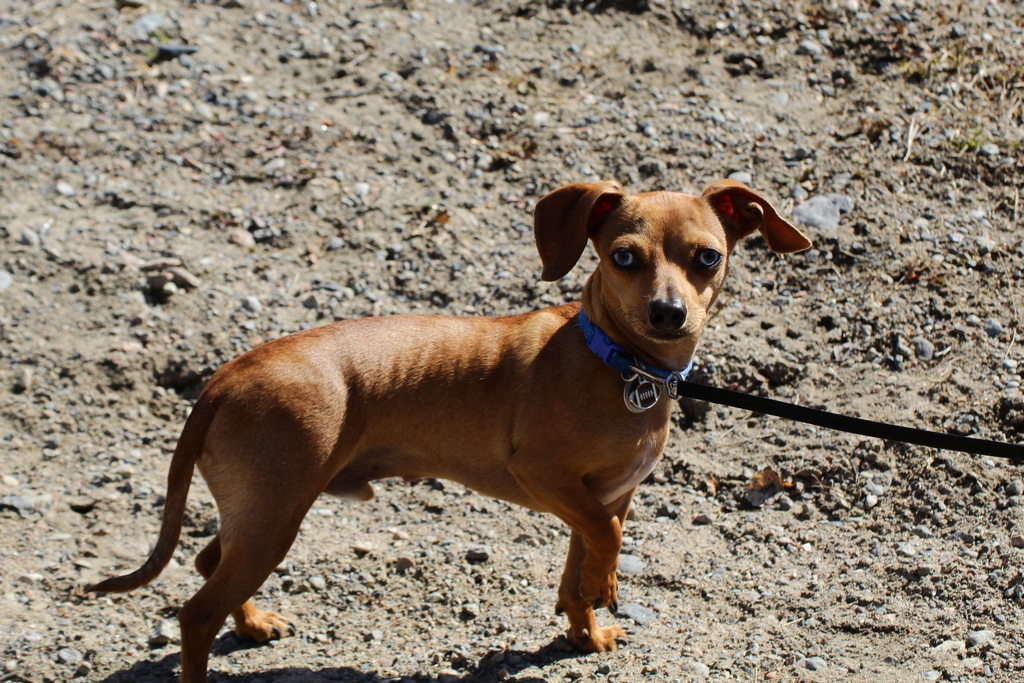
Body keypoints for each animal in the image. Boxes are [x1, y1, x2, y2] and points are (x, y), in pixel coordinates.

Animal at [90, 179, 806, 679]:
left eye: (707, 257)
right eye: (624, 258)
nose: (667, 313)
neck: (620, 365)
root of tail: (225, 377)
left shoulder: (602, 497)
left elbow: (580, 564)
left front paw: (585, 631)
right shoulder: (549, 481)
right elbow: (603, 543)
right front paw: (605, 590)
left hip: (261, 515)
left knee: (209, 564)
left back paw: (253, 623)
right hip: (274, 515)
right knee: (195, 613)